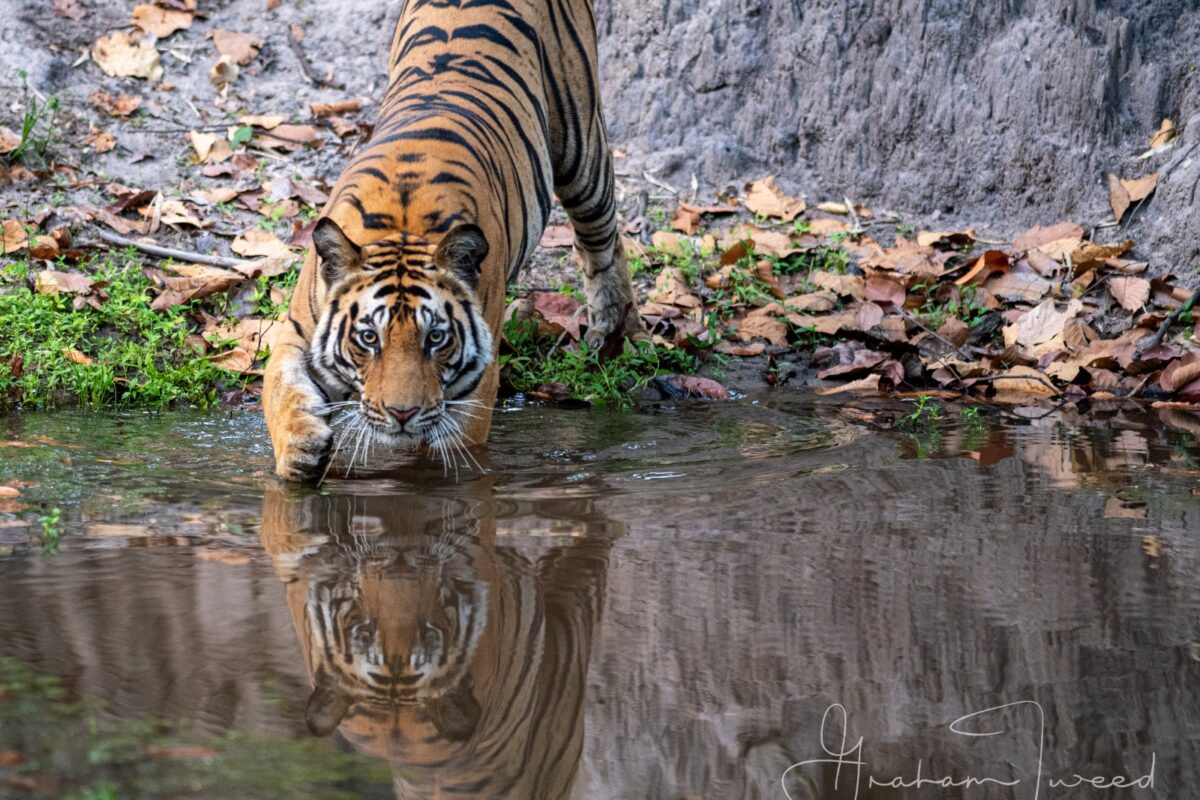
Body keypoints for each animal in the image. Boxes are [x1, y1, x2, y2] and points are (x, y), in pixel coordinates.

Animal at [263, 0, 643, 481]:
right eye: (368, 338)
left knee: (603, 240)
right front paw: (299, 451)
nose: (401, 414)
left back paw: (616, 332)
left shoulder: (477, 380)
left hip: (581, 146)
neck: (401, 224)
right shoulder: (297, 332)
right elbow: (282, 389)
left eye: (436, 338)